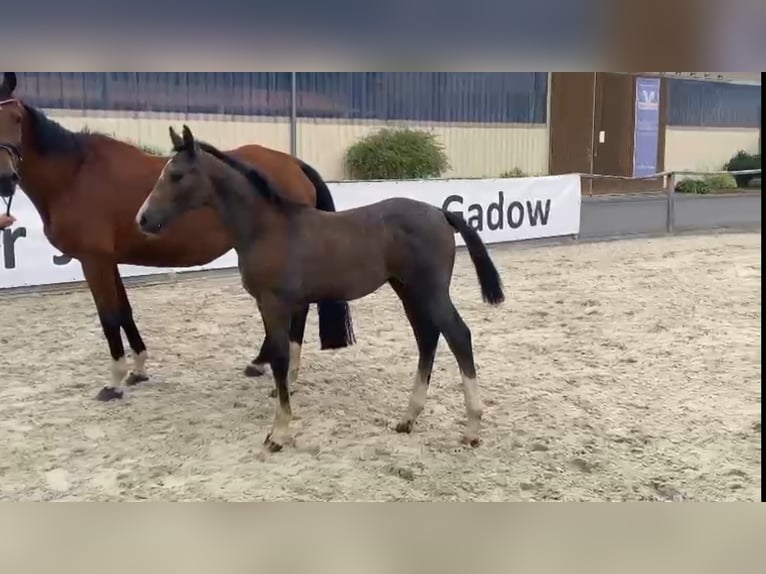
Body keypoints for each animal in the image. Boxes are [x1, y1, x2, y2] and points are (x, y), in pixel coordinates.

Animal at [0, 72, 356, 402]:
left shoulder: (94, 260)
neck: (74, 175)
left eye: (15, 118)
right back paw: (260, 362)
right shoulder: (108, 261)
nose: (6, 177)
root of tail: (294, 163)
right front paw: (138, 369)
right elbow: (124, 311)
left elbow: (109, 317)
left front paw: (114, 382)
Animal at [136, 127, 510, 454]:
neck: (266, 228)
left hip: (430, 290)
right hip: (407, 290)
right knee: (427, 338)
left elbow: (280, 358)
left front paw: (278, 434)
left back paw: (472, 428)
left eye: (176, 175)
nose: (143, 219)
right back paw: (408, 418)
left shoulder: (274, 303)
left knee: (458, 335)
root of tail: (441, 213)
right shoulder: (280, 304)